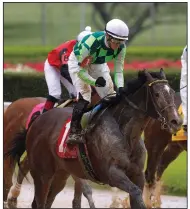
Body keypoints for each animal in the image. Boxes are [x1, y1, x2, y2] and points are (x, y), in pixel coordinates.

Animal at [4, 69, 183, 208]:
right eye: (157, 94)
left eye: (172, 93)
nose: (176, 121)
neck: (126, 135)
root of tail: (37, 120)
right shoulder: (112, 173)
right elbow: (133, 192)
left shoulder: (136, 174)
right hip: (42, 173)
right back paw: (11, 198)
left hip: (60, 172)